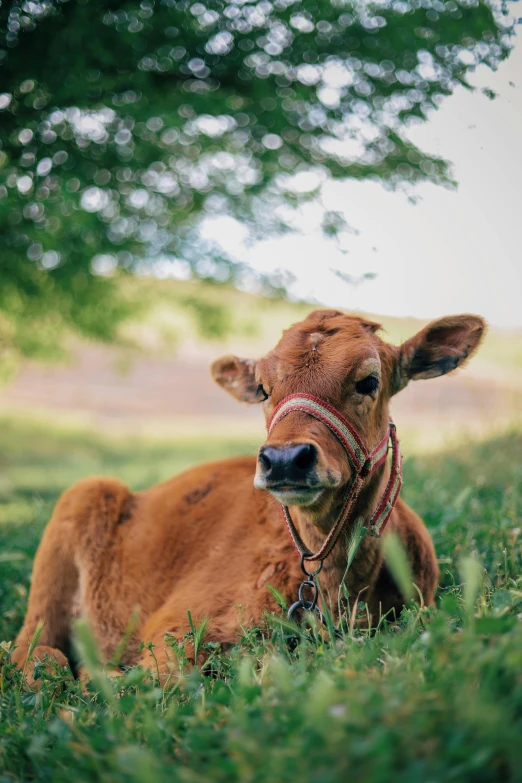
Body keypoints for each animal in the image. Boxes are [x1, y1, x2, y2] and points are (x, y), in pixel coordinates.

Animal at [13, 310, 484, 684]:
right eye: (262, 388)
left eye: (368, 381)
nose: (285, 458)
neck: (337, 588)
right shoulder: (172, 632)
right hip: (77, 507)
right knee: (32, 652)